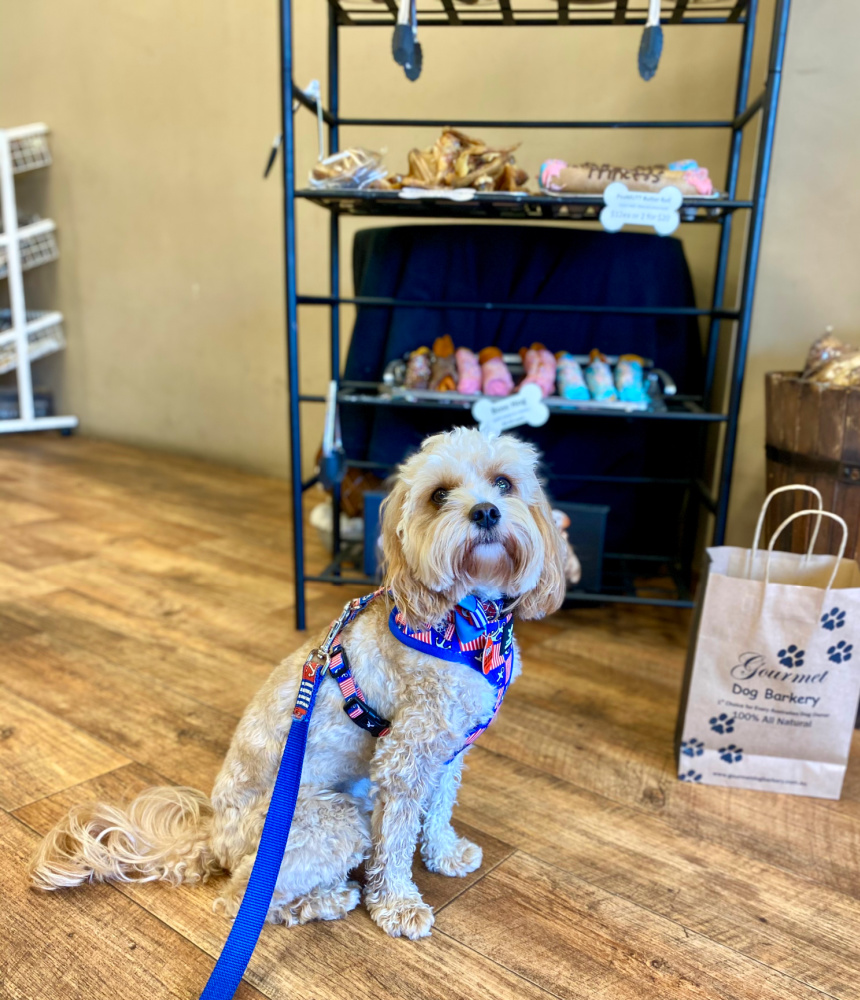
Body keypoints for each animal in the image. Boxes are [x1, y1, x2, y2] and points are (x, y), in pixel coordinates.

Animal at [30, 426, 568, 940]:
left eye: (504, 483)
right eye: (439, 495)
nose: (486, 511)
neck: (470, 623)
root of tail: (214, 837)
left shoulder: (448, 749)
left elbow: (438, 808)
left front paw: (445, 854)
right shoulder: (405, 756)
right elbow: (395, 839)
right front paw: (398, 905)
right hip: (329, 820)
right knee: (242, 899)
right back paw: (327, 899)